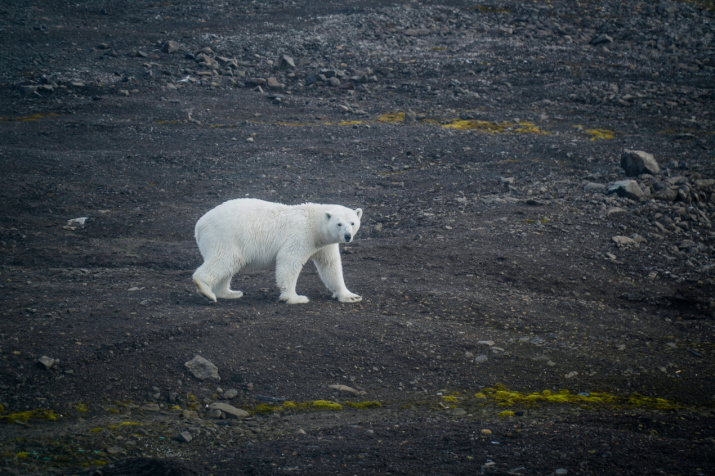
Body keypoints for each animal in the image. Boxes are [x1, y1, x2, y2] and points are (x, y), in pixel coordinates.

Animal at [193, 198, 364, 304]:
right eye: (339, 224)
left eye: (352, 222)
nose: (347, 236)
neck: (313, 223)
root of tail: (199, 225)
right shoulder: (301, 234)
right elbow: (289, 260)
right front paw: (295, 298)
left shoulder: (324, 244)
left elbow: (330, 265)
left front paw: (351, 296)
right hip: (224, 236)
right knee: (225, 260)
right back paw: (205, 289)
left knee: (230, 264)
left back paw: (230, 293)